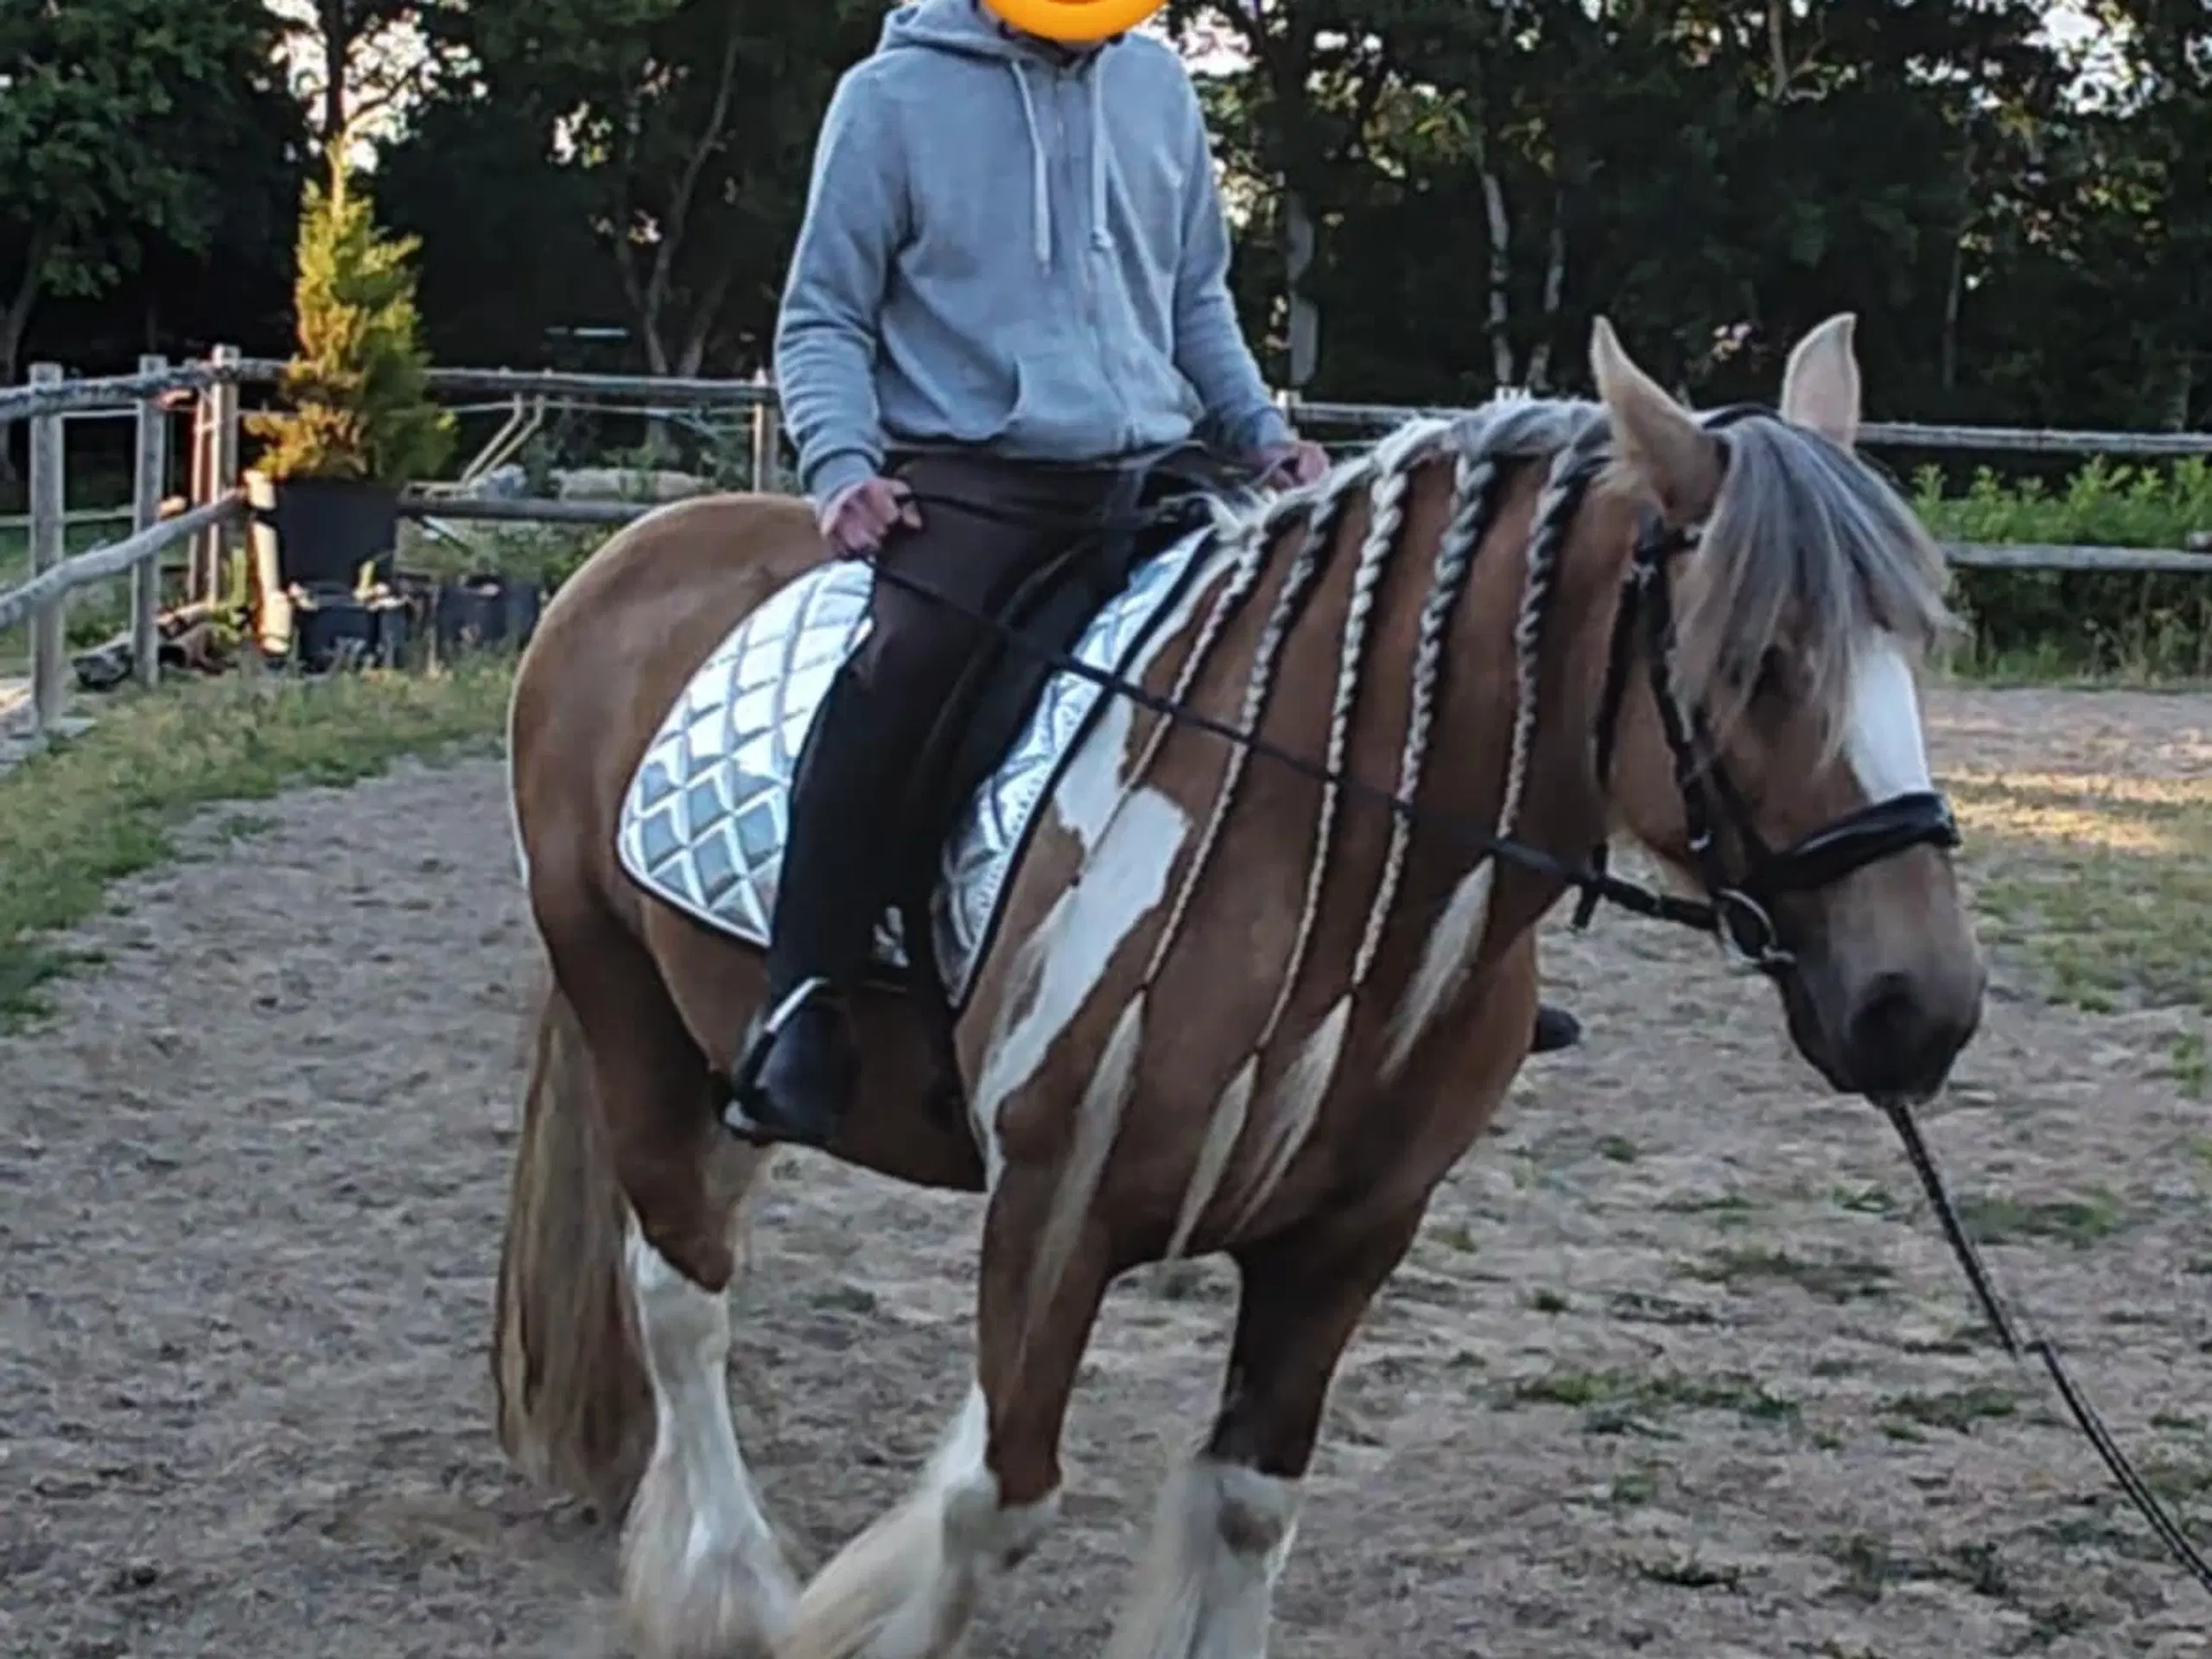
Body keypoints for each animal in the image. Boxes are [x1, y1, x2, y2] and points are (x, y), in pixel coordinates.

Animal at [493, 314, 1981, 1659]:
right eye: (1757, 662)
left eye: (1913, 644)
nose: (1923, 1006)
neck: (1316, 845)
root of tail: (630, 552)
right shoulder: (1054, 1211)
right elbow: (991, 1507)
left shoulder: (1348, 1240)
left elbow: (1249, 1505)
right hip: (623, 1003)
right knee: (681, 1292)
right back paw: (724, 1589)